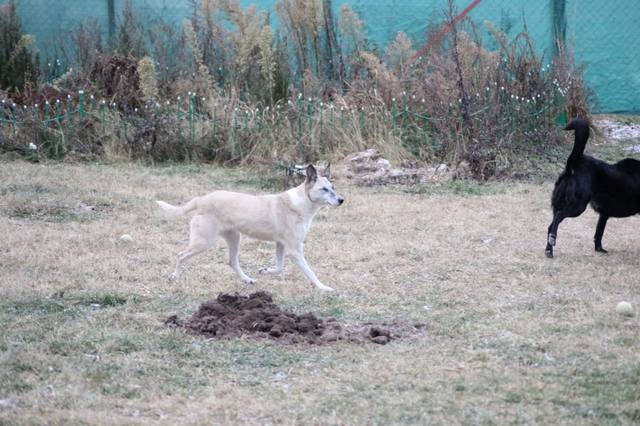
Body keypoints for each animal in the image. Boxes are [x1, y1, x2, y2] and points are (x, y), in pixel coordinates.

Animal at [157, 165, 342, 292]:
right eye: (324, 189)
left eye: (333, 188)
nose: (342, 200)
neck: (302, 202)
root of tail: (201, 199)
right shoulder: (295, 250)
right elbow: (311, 273)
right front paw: (323, 288)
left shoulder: (281, 245)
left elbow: (279, 267)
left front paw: (265, 270)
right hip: (203, 242)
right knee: (181, 255)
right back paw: (174, 276)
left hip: (234, 238)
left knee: (232, 262)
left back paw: (248, 280)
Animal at [544, 117, 640, 256]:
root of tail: (575, 164)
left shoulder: (604, 214)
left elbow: (599, 233)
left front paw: (599, 249)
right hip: (577, 206)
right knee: (558, 217)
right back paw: (552, 240)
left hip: (560, 203)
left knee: (550, 225)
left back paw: (549, 250)